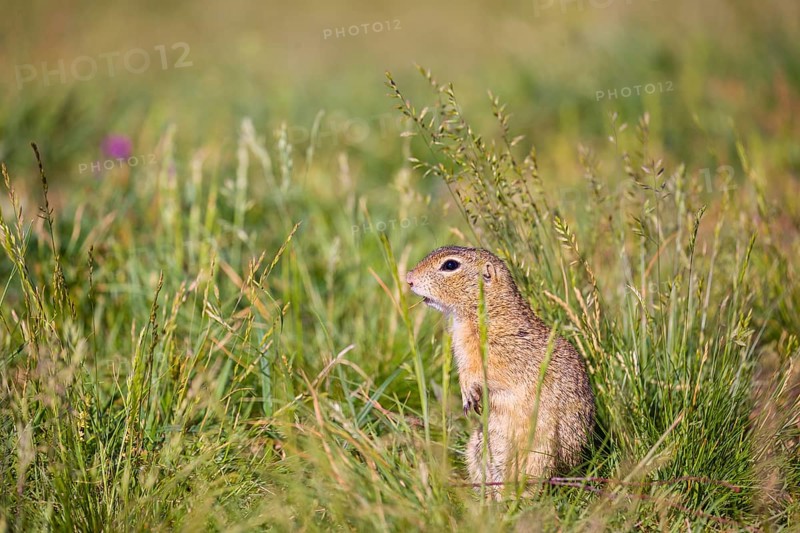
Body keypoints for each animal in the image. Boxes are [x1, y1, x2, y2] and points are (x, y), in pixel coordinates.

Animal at [406, 246, 595, 494]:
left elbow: (480, 373)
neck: (489, 310)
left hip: (540, 453)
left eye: (450, 265)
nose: (408, 278)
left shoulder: (498, 354)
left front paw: (468, 394)